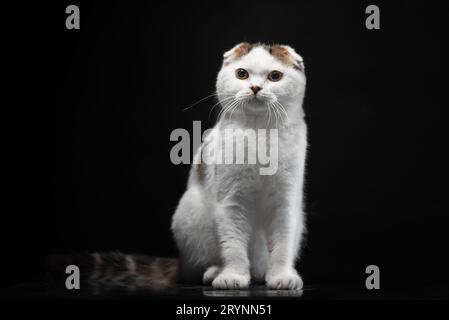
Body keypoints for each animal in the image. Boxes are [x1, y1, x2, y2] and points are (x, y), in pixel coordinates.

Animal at [170, 42, 306, 290]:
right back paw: (215, 272)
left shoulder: (286, 202)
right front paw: (233, 275)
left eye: (275, 76)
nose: (255, 87)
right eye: (242, 74)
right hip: (190, 215)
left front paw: (282, 276)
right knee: (197, 267)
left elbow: (282, 244)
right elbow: (232, 243)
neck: (260, 133)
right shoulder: (231, 200)